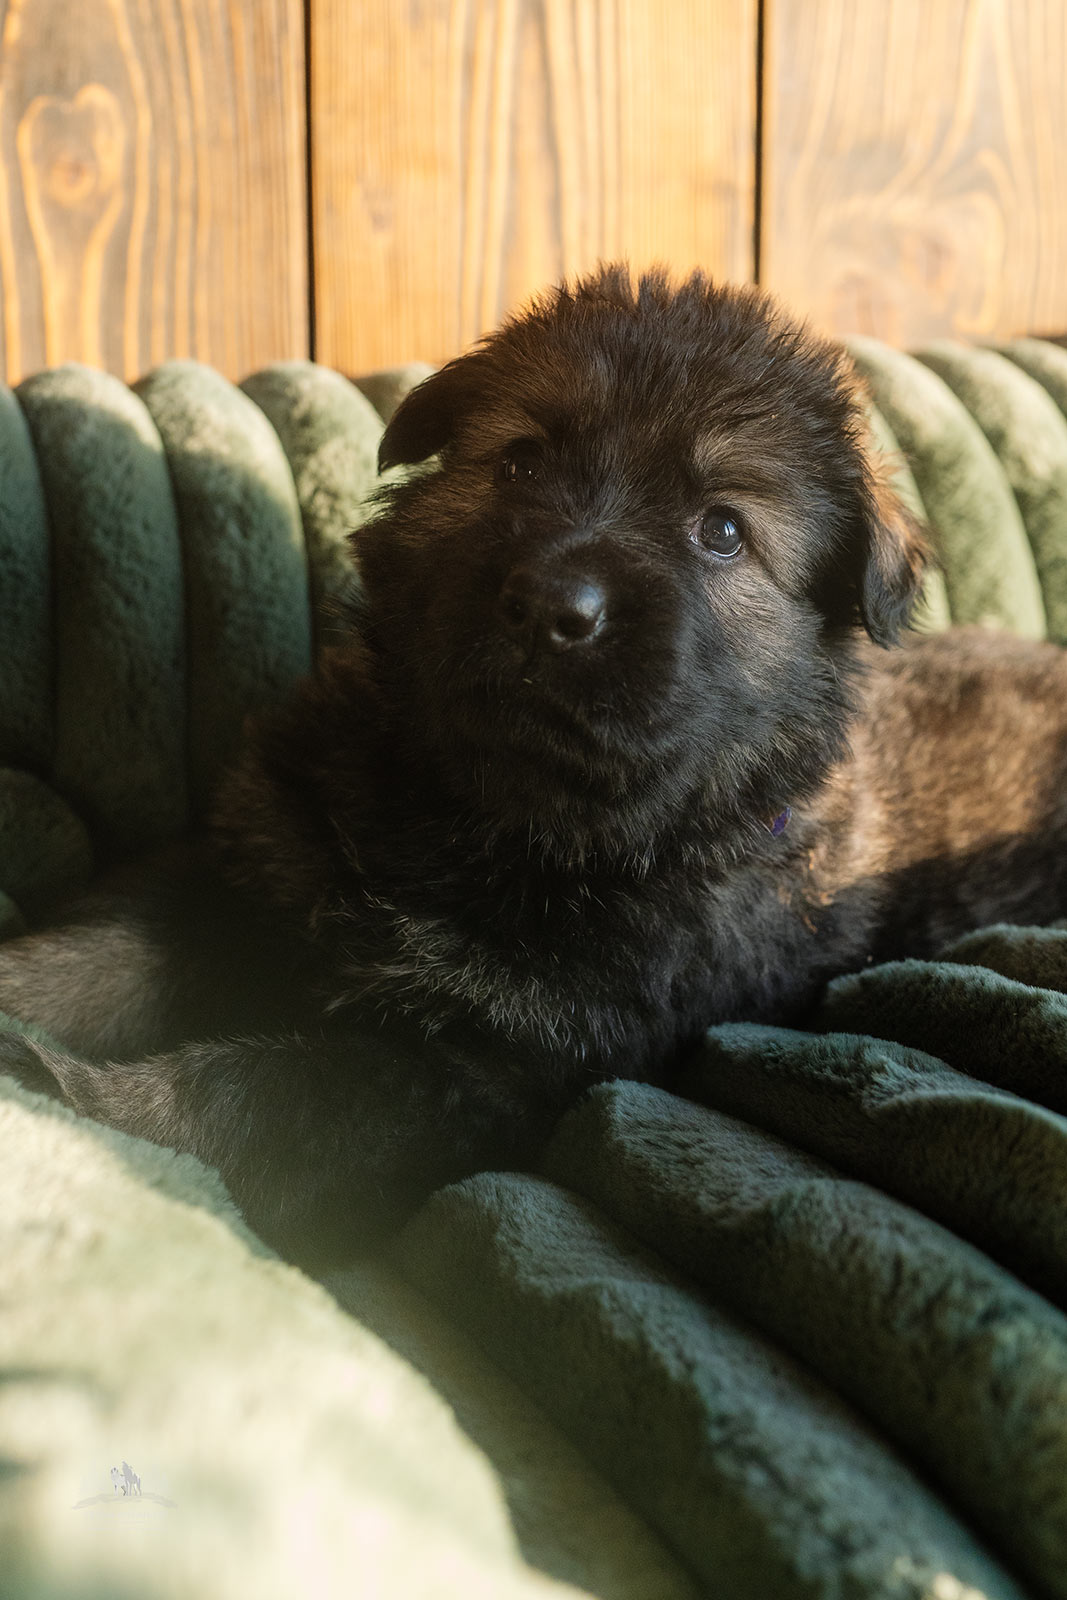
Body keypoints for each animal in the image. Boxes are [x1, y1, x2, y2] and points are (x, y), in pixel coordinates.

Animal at [3, 264, 1067, 1266]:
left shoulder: (488, 1074)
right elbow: (101, 956)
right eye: (520, 460)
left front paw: (71, 1092)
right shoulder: (245, 866)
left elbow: (252, 1096)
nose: (553, 602)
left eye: (722, 531)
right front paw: (26, 1009)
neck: (488, 816)